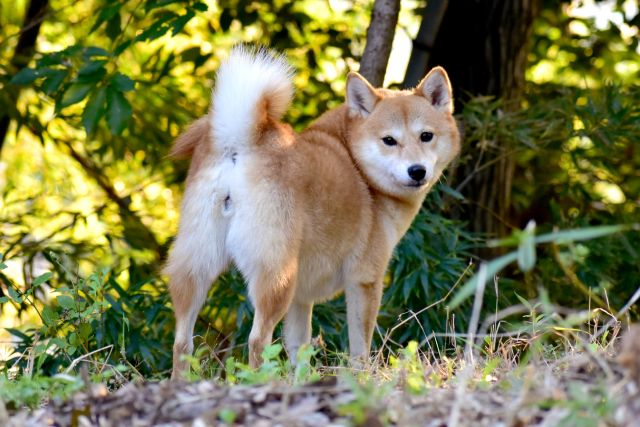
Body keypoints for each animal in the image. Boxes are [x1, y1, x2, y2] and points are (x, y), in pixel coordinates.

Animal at [166, 46, 460, 380]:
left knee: (182, 342)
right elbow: (360, 347)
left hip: (197, 267)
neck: (357, 167)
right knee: (257, 341)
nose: (417, 171)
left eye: (426, 136)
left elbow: (300, 349)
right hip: (276, 276)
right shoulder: (365, 281)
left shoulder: (302, 297)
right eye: (389, 141)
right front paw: (361, 379)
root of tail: (240, 142)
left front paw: (302, 381)